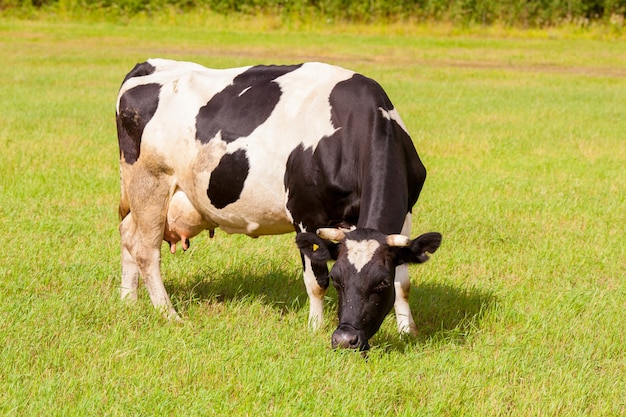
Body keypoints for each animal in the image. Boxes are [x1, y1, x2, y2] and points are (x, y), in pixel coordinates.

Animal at [116, 58, 438, 350]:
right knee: (146, 250)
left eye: (380, 283)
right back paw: (169, 314)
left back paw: (128, 300)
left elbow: (403, 283)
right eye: (338, 279)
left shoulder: (406, 214)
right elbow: (315, 281)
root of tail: (148, 65)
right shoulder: (306, 215)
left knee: (127, 234)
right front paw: (315, 328)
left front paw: (408, 332)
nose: (345, 340)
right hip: (149, 182)